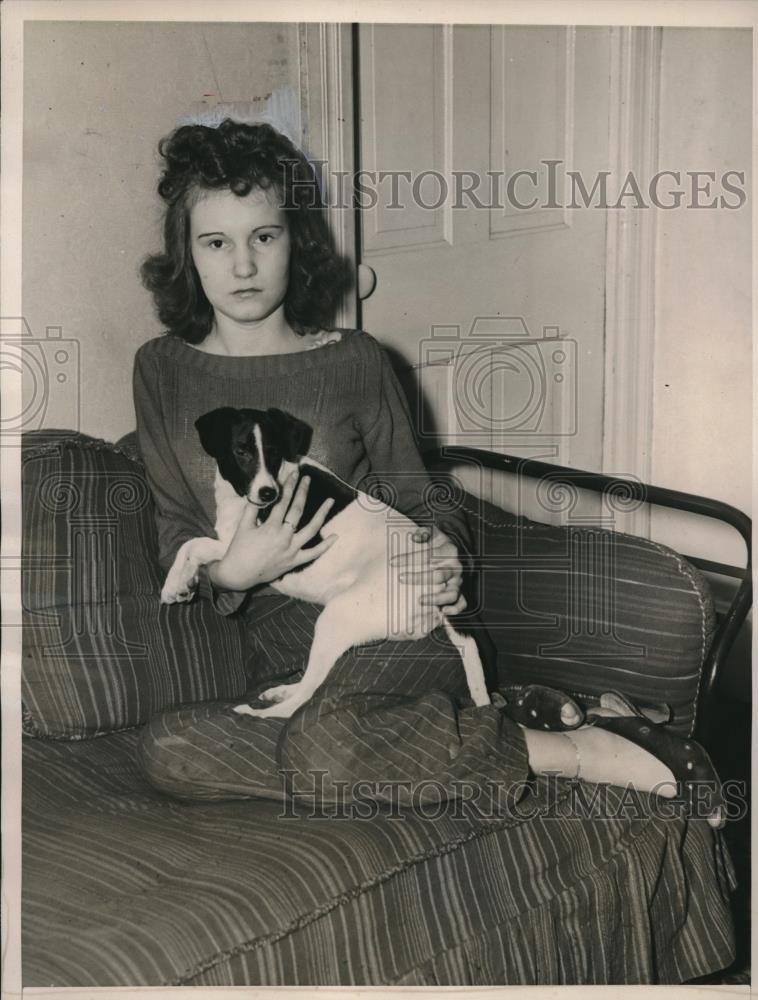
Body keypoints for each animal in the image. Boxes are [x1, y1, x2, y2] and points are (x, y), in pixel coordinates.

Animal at [163, 406, 490, 720]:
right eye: (241, 451)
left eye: (273, 452)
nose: (269, 494)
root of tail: (439, 595)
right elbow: (190, 547)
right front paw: (182, 583)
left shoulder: (246, 548)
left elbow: (193, 545)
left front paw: (173, 584)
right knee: (307, 684)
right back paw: (280, 692)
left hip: (335, 618)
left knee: (302, 700)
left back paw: (258, 713)